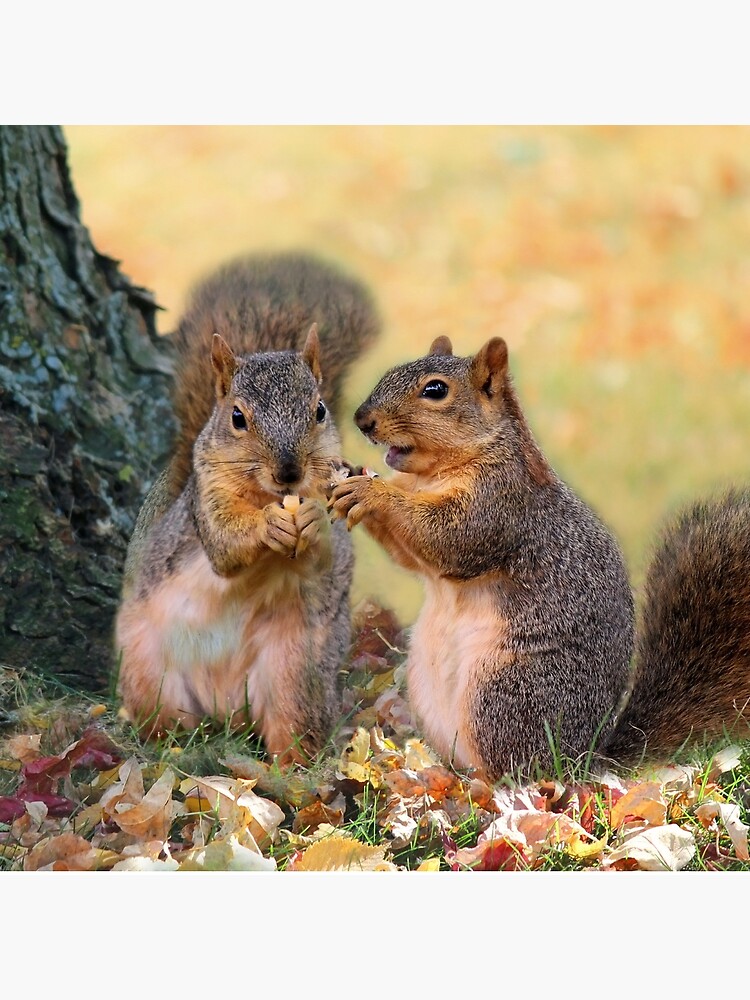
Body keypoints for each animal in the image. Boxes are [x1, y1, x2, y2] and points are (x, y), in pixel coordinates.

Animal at [115, 252, 379, 763]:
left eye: (319, 410)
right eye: (237, 417)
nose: (289, 472)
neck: (267, 497)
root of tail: (224, 707)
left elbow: (326, 557)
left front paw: (311, 521)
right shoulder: (205, 500)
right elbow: (224, 545)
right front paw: (266, 528)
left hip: (295, 671)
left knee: (292, 726)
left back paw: (292, 766)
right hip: (147, 670)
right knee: (165, 722)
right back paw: (169, 750)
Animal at [329, 334, 750, 780]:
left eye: (435, 390)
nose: (362, 419)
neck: (433, 476)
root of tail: (582, 760)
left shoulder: (500, 504)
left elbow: (451, 539)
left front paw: (372, 492)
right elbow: (412, 556)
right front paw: (353, 480)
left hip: (505, 692)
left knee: (511, 769)